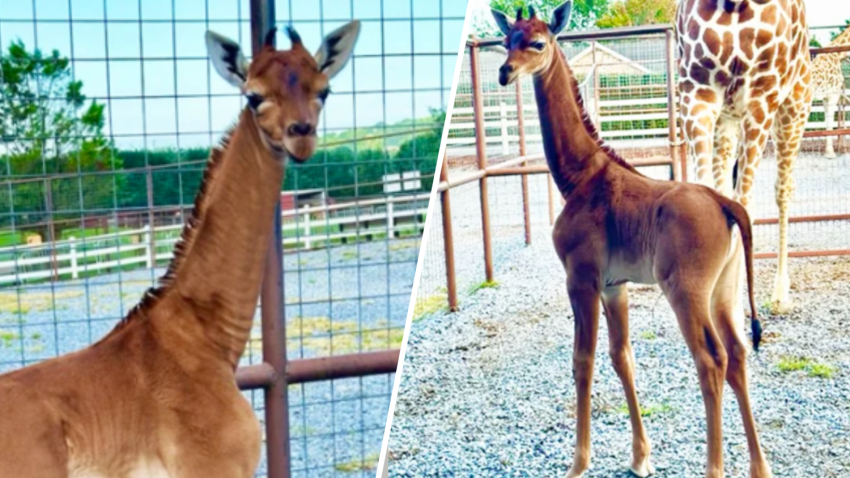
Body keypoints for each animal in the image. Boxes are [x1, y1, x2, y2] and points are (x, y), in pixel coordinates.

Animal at [494, 3, 772, 478]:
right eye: (505, 40)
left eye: (538, 42)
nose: (504, 72)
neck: (579, 177)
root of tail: (725, 203)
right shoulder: (614, 285)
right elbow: (621, 356)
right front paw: (641, 457)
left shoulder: (582, 278)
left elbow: (583, 360)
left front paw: (578, 463)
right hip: (724, 289)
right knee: (737, 354)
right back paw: (760, 467)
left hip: (686, 291)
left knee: (711, 359)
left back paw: (714, 467)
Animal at [676, 0, 816, 312]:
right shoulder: (697, 91)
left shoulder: (761, 98)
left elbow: (745, 205)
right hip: (727, 121)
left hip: (794, 108)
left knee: (783, 190)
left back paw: (781, 292)